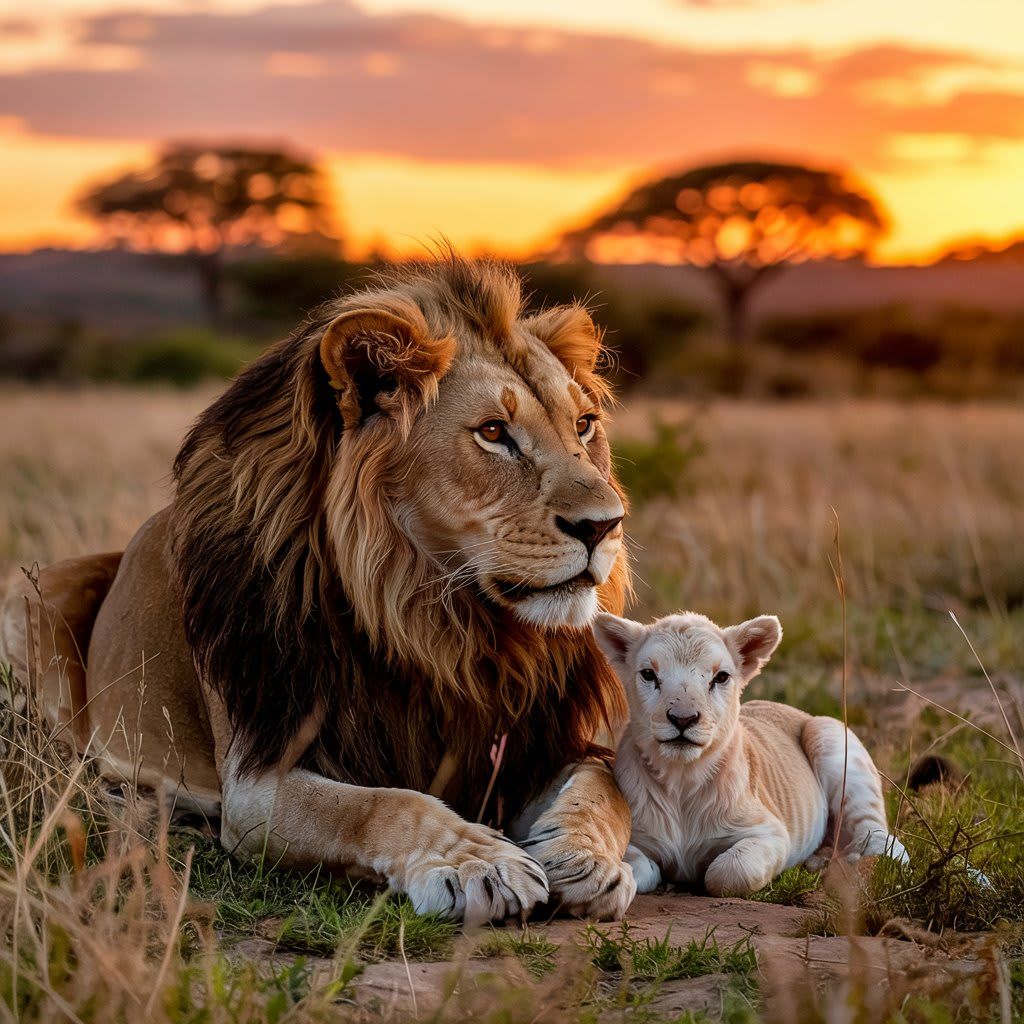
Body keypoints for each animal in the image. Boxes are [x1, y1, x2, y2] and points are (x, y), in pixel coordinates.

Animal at [1, 257, 638, 924]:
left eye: (584, 425)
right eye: (493, 432)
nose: (606, 524)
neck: (434, 625)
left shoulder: (533, 745)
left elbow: (604, 783)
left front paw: (585, 860)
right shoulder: (259, 778)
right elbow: (387, 803)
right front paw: (478, 863)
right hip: (25, 608)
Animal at [593, 611, 908, 896]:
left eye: (720, 677)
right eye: (649, 674)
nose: (683, 719)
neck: (681, 778)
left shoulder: (771, 833)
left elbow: (727, 871)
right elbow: (634, 864)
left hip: (831, 736)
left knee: (883, 839)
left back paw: (850, 863)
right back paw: (819, 861)